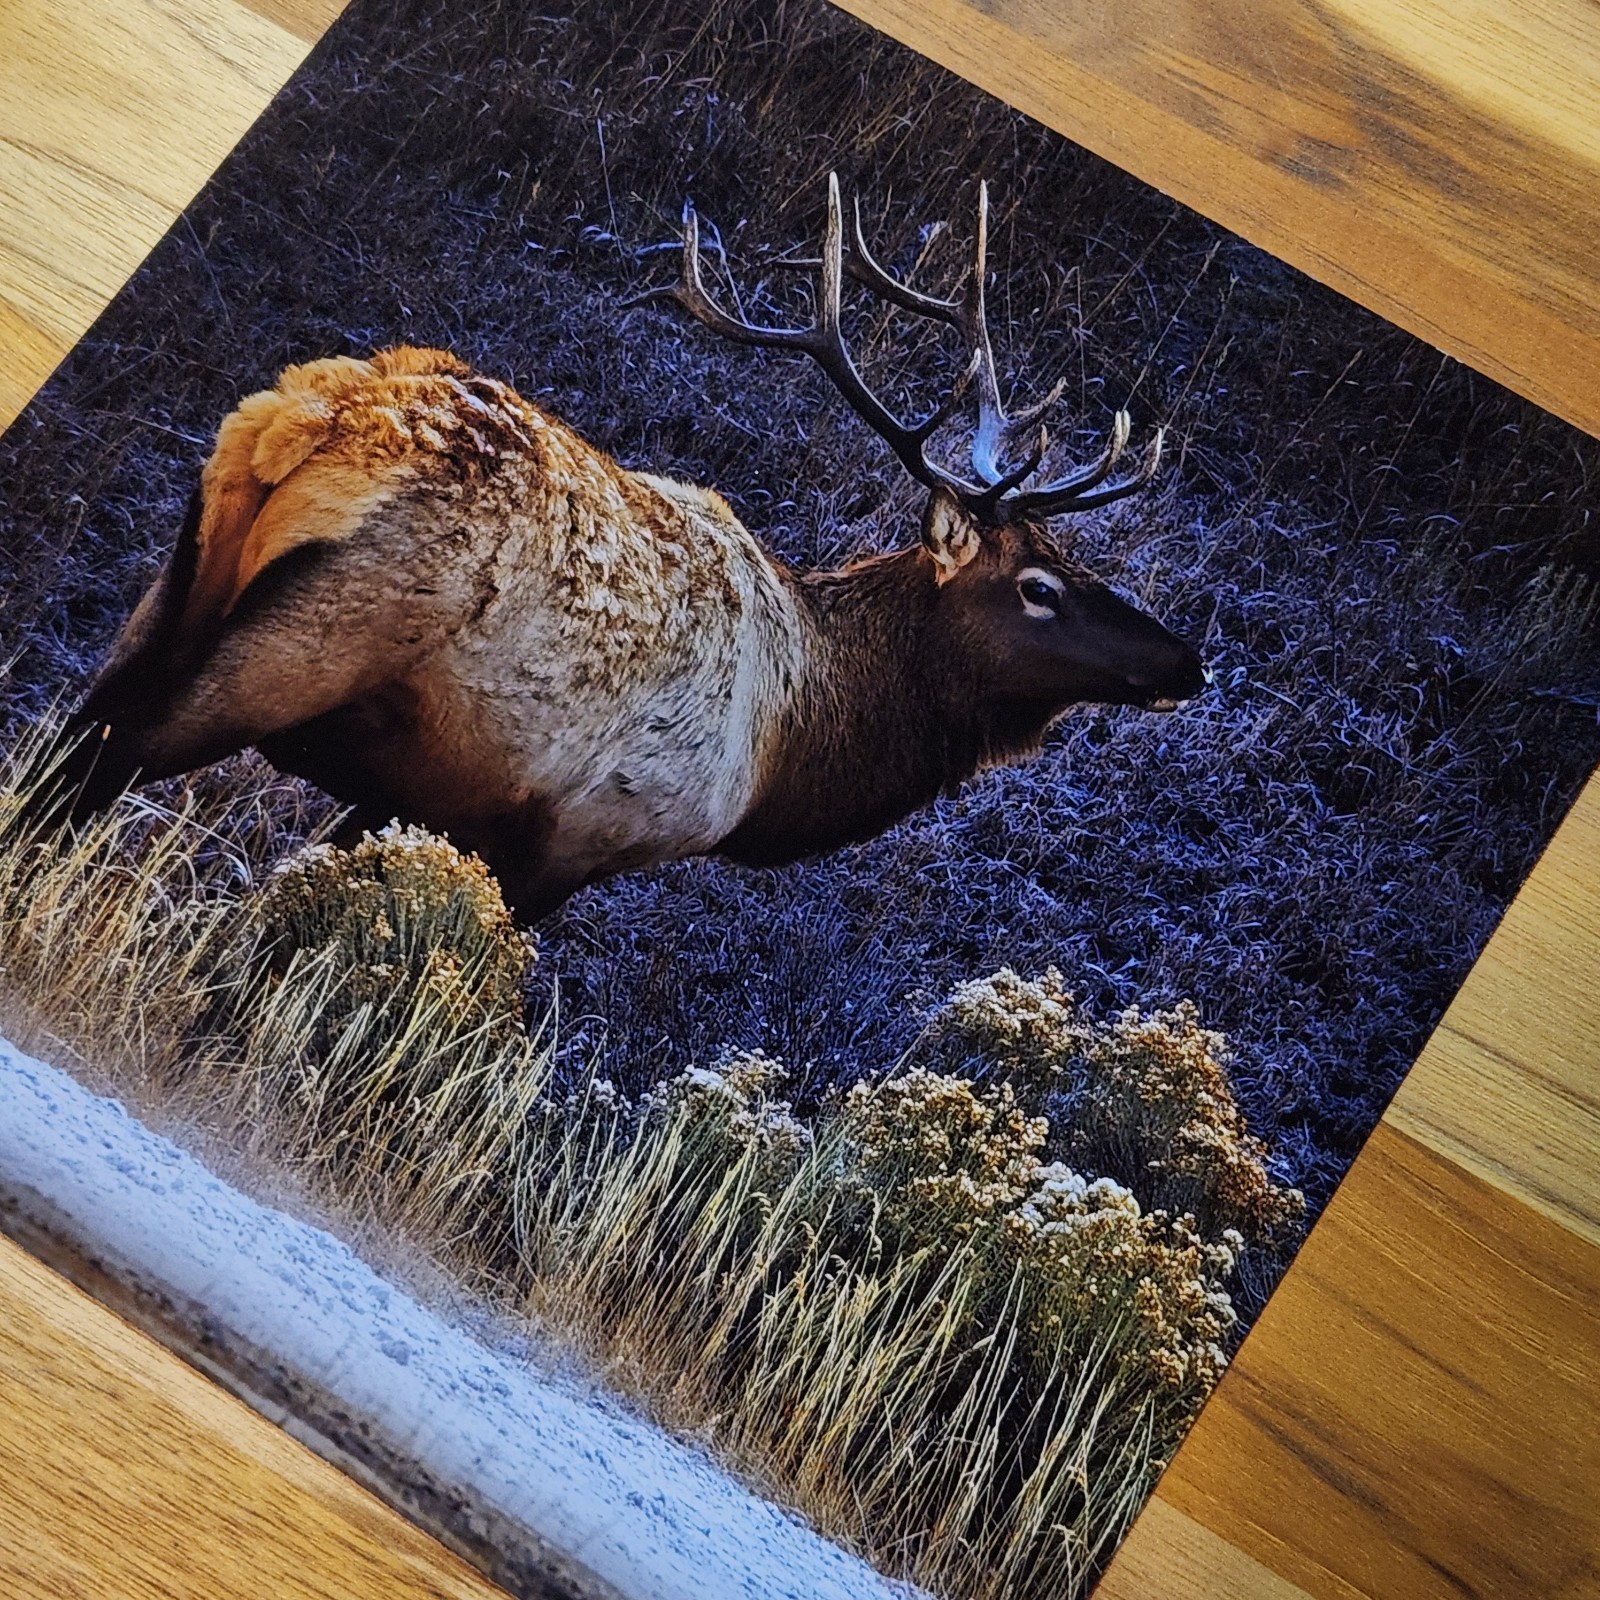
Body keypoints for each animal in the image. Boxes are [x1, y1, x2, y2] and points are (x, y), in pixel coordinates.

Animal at [45, 174, 1207, 919]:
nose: (1186, 661)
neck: (786, 747)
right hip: (302, 643)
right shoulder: (575, 835)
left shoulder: (405, 798)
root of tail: (318, 417)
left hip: (178, 578)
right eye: (1040, 586)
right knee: (108, 761)